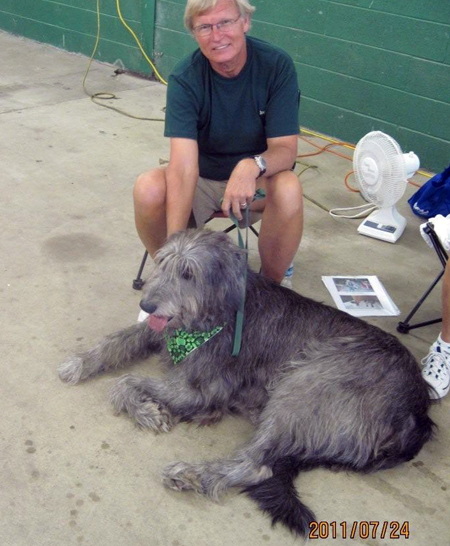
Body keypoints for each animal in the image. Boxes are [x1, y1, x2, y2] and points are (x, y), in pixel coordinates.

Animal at [58, 227, 434, 532]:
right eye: (162, 263)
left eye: (188, 273)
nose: (147, 304)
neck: (219, 311)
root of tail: (418, 408)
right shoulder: (161, 332)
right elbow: (119, 340)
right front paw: (79, 362)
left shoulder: (205, 388)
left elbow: (125, 382)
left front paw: (149, 411)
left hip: (307, 380)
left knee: (258, 465)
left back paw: (193, 474)